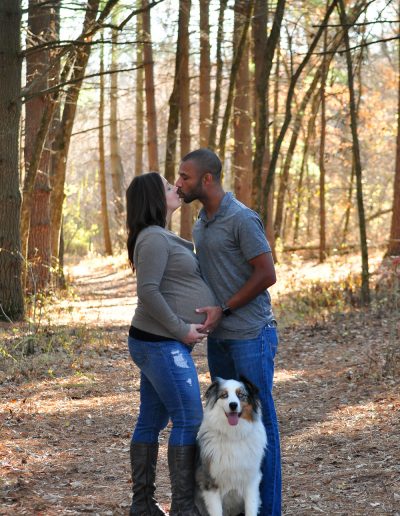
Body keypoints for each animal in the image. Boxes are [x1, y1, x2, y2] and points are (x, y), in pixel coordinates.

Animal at [195, 374, 268, 516]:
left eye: (241, 395)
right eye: (224, 395)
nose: (233, 405)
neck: (233, 435)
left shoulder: (251, 480)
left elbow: (251, 509)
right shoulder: (210, 483)